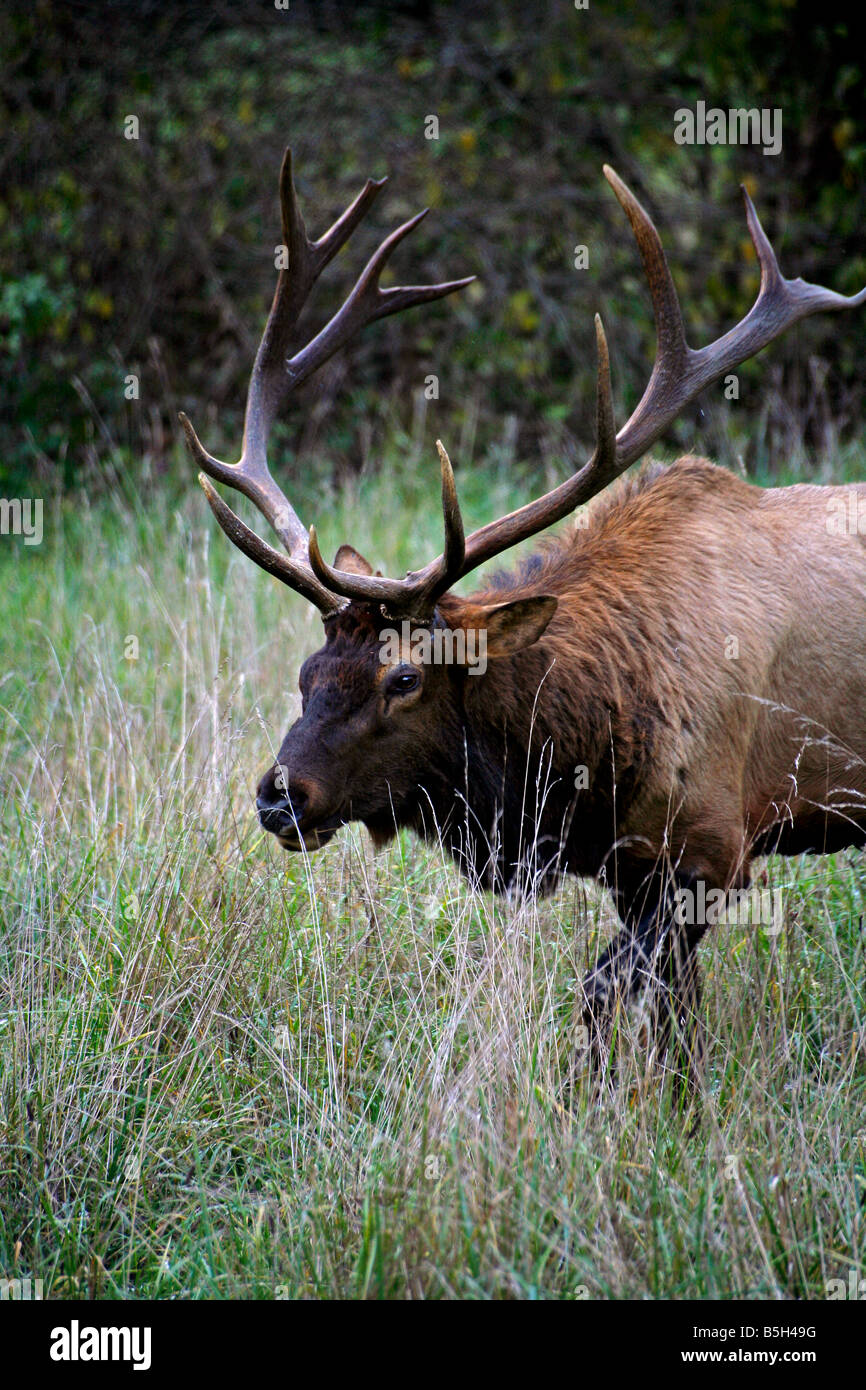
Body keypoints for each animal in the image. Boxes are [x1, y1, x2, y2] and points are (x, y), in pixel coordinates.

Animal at [180, 152, 866, 1078]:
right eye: (306, 673)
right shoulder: (634, 868)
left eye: (406, 678)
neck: (587, 757)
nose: (280, 797)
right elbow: (674, 1020)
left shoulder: (714, 846)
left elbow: (604, 998)